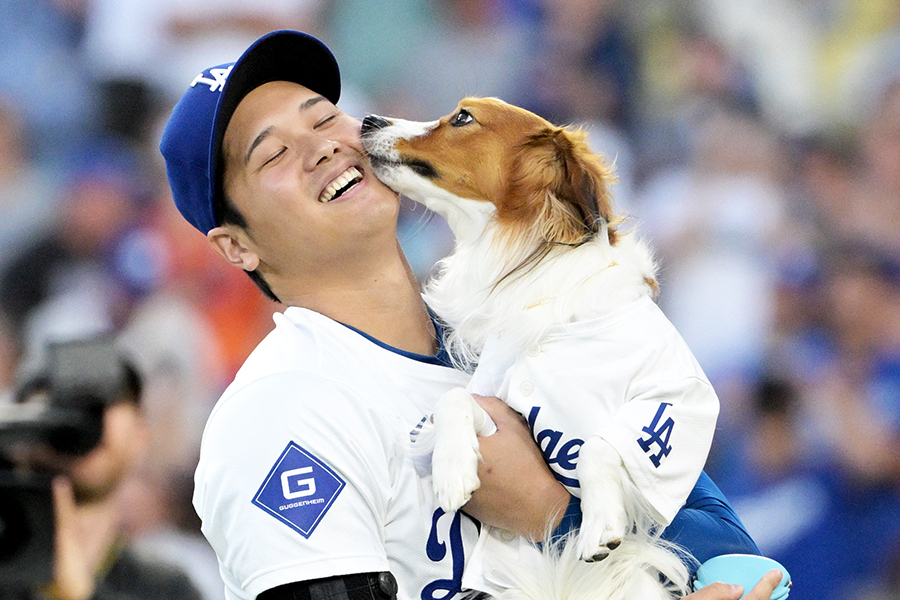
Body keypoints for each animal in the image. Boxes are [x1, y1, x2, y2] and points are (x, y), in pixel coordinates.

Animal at [358, 98, 716, 600]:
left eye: (463, 117)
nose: (368, 120)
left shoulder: (681, 400)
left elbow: (599, 446)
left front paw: (601, 525)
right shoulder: (500, 404)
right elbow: (455, 399)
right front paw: (452, 470)